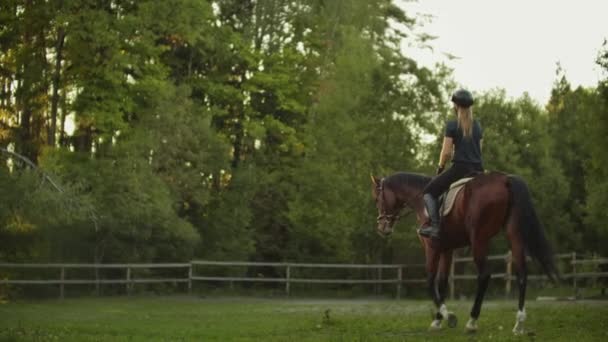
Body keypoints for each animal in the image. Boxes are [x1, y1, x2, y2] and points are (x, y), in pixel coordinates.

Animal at [368, 171, 560, 334]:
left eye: (377, 199)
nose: (382, 228)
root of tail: (505, 179)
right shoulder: (447, 250)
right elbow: (442, 282)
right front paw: (437, 321)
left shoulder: (432, 248)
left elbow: (430, 280)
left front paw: (449, 316)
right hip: (513, 234)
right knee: (521, 274)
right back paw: (518, 324)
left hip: (479, 239)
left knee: (484, 275)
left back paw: (472, 322)